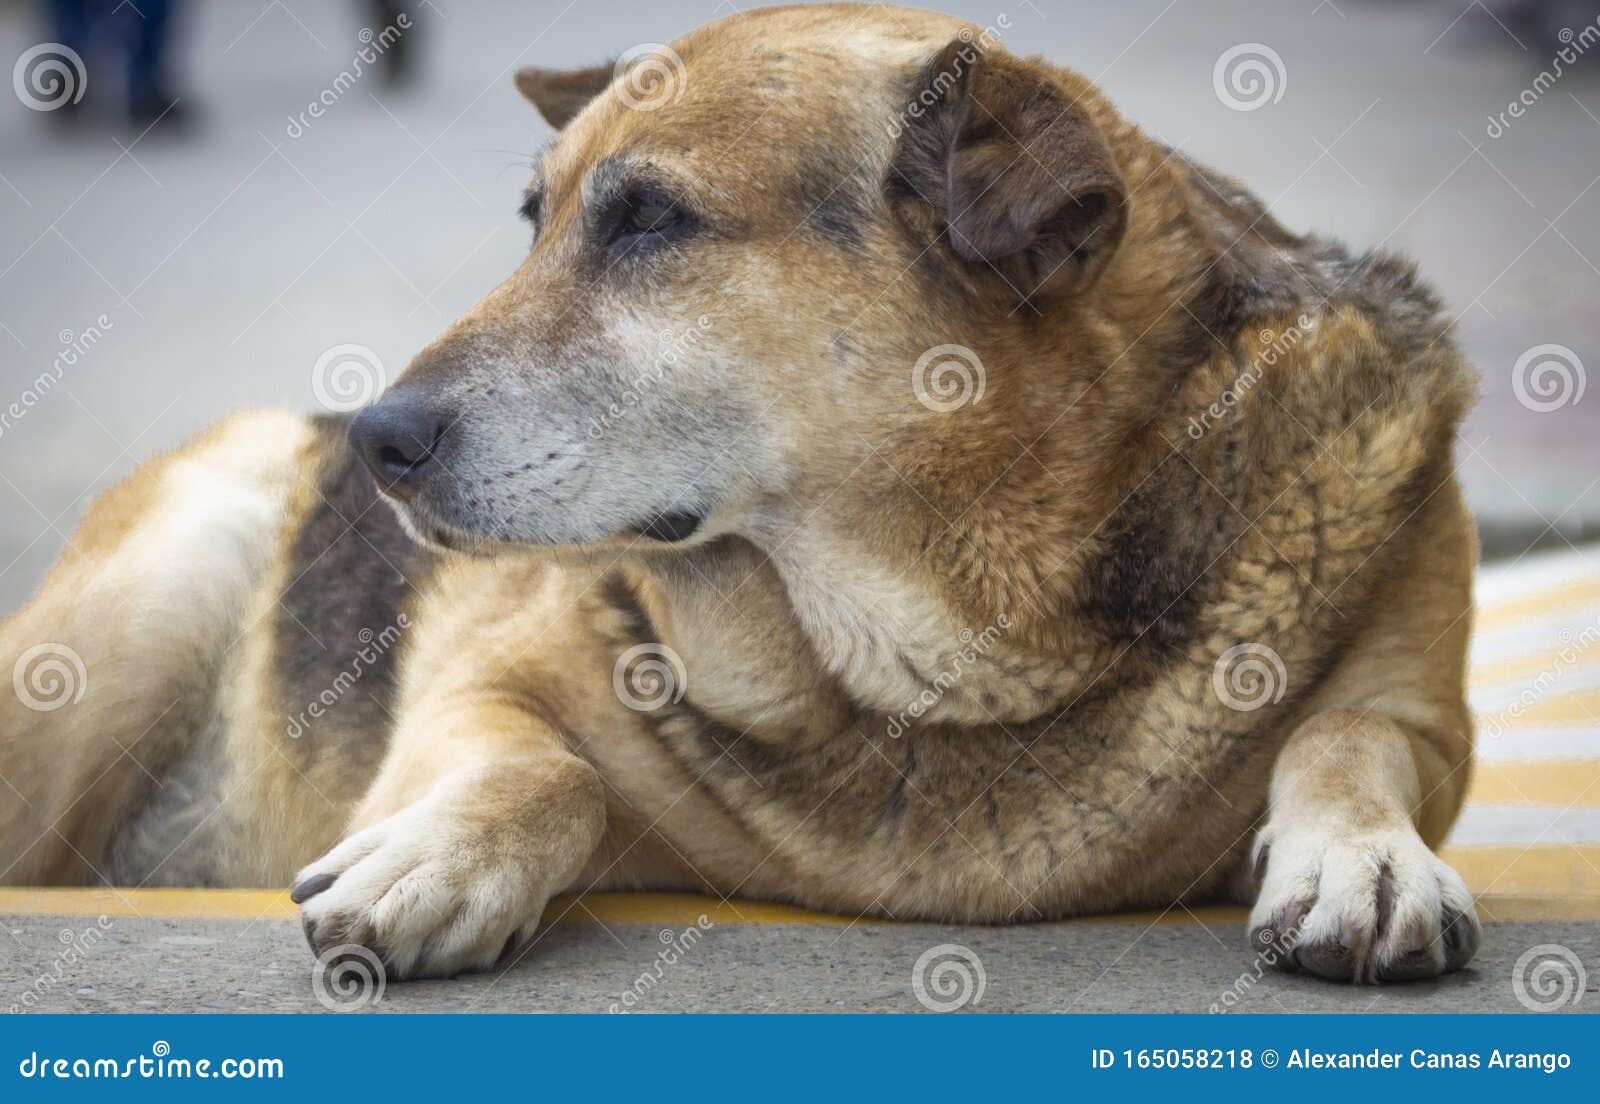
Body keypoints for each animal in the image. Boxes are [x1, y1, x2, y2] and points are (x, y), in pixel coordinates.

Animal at [0, 0, 1478, 979]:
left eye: (648, 221)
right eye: (536, 222)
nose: (378, 440)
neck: (936, 656)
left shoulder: (1429, 718)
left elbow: (1348, 732)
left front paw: (1361, 853)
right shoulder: (479, 686)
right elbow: (546, 770)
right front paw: (437, 857)